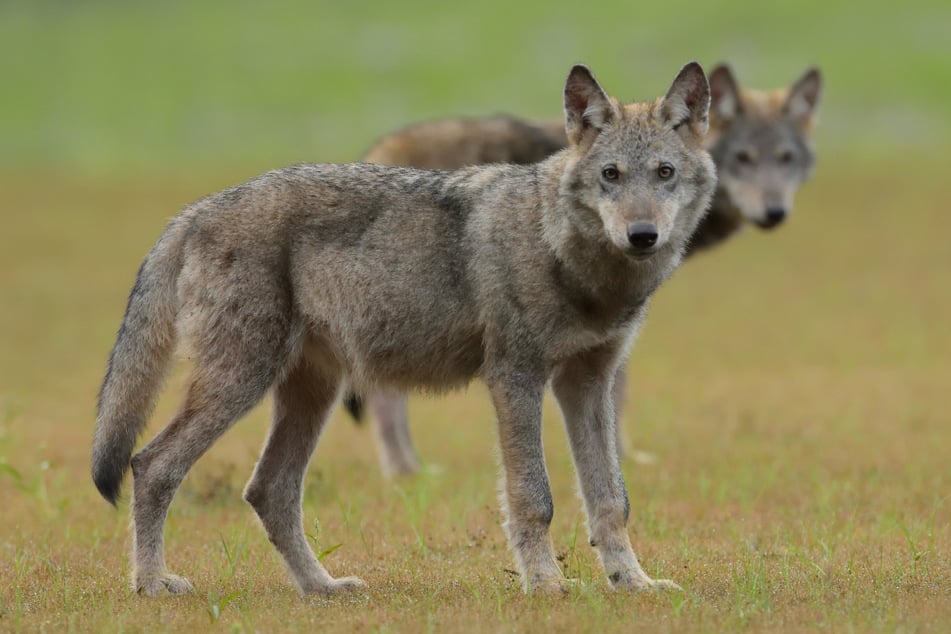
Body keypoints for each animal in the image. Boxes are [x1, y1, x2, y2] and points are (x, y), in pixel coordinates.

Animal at [95, 61, 720, 596]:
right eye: (611, 175)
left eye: (664, 174)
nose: (643, 235)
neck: (569, 257)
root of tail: (192, 212)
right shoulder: (516, 379)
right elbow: (533, 498)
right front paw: (545, 585)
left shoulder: (587, 385)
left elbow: (611, 501)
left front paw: (633, 584)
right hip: (242, 383)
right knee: (151, 466)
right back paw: (152, 585)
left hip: (309, 394)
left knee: (268, 491)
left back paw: (322, 589)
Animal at [346, 64, 820, 474]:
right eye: (744, 158)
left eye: (785, 158)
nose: (774, 213)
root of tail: (378, 148)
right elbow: (619, 392)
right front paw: (626, 456)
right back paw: (405, 472)